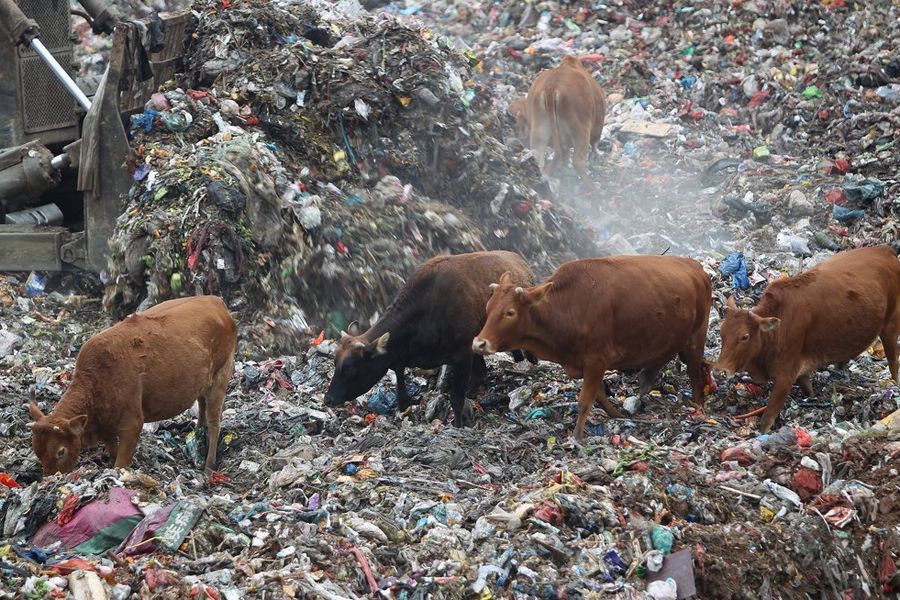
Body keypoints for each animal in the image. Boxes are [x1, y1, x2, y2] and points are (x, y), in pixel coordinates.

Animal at [27, 296, 237, 474]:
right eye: (37, 451)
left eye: (61, 451)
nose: (52, 478)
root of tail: (215, 301)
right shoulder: (106, 427)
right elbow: (113, 452)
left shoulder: (132, 422)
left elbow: (121, 462)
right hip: (203, 380)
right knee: (201, 403)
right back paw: (197, 433)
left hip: (221, 375)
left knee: (214, 422)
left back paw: (209, 465)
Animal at [474, 255, 712, 438]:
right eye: (488, 307)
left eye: (510, 312)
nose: (479, 343)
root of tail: (695, 266)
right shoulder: (584, 364)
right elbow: (599, 395)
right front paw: (617, 415)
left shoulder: (597, 360)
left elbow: (585, 401)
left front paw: (578, 436)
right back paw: (646, 382)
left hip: (696, 337)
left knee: (694, 371)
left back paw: (698, 405)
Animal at [510, 54, 608, 184]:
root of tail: (551, 86)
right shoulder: (598, 123)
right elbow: (595, 143)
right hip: (581, 129)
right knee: (577, 161)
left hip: (540, 129)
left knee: (539, 155)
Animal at [716, 246, 900, 434]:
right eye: (722, 333)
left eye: (744, 336)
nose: (719, 370)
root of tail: (884, 249)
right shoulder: (801, 369)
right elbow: (807, 387)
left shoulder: (785, 376)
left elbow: (767, 419)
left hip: (891, 324)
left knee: (893, 361)